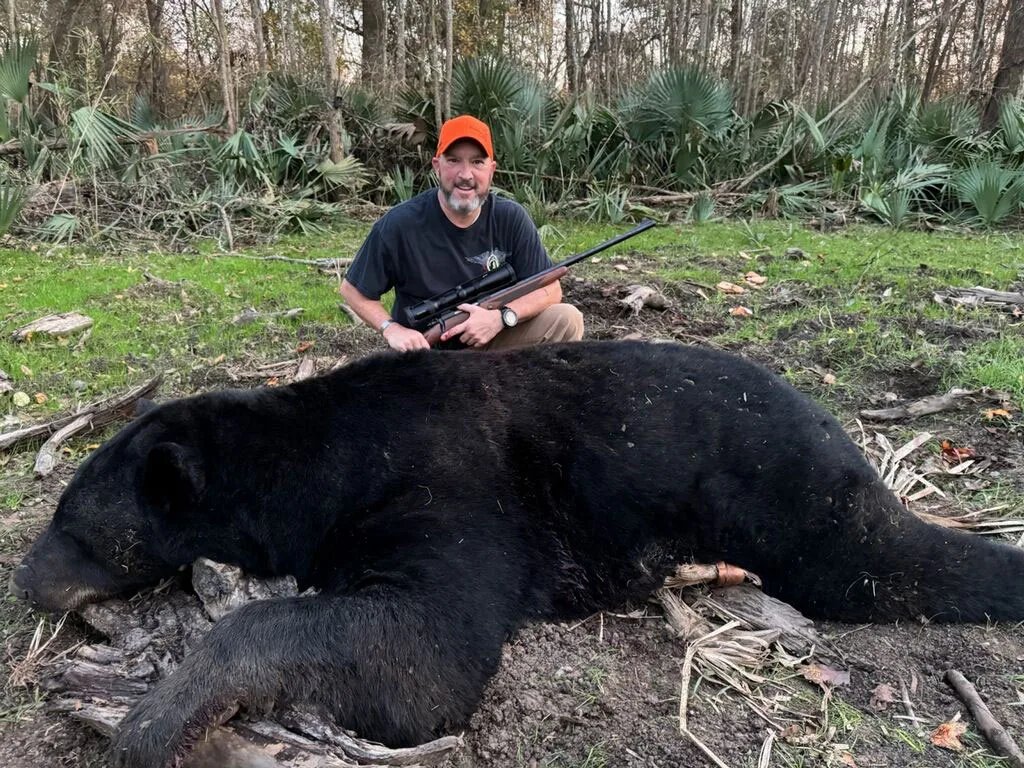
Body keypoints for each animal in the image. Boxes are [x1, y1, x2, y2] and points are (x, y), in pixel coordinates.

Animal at [9, 342, 1024, 768]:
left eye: (76, 526)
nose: (22, 580)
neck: (317, 458)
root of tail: (841, 433)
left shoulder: (447, 489)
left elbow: (421, 655)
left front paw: (151, 722)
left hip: (792, 496)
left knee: (888, 560)